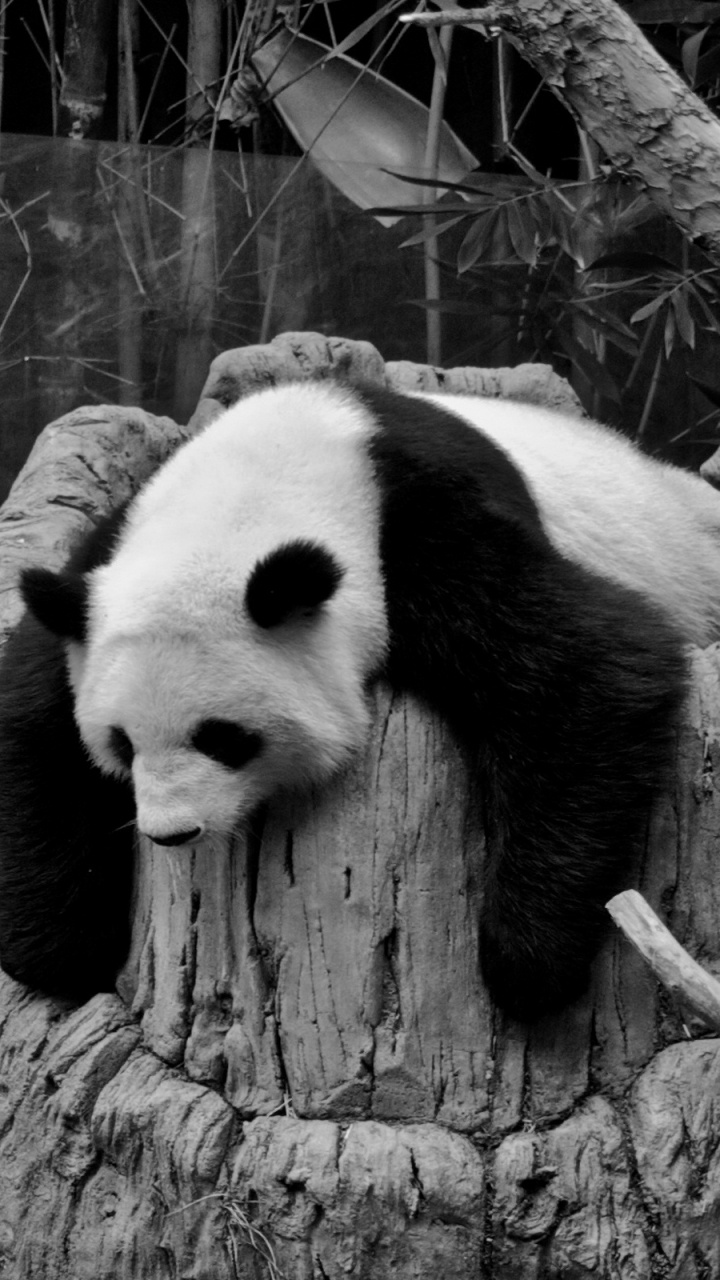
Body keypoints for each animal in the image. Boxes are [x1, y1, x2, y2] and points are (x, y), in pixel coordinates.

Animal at [0, 377, 713, 1021]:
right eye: (122, 743)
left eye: (223, 737)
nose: (171, 833)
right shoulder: (103, 564)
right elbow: (33, 719)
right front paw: (59, 950)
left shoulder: (420, 531)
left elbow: (590, 664)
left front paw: (526, 966)